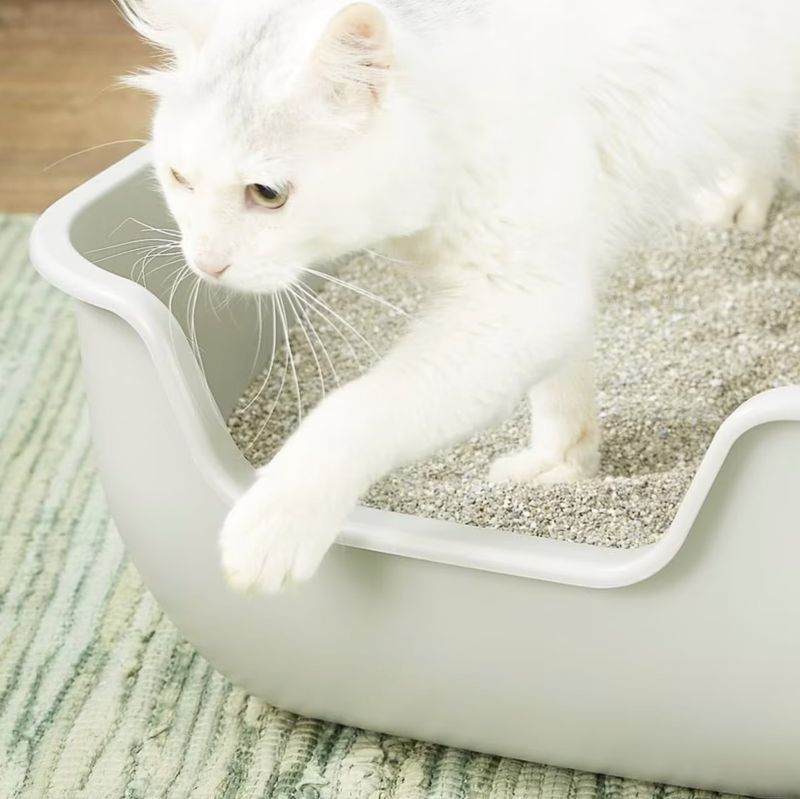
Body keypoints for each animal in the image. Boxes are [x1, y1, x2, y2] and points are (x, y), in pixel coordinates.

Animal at [119, 0, 800, 592]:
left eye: (267, 193)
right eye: (179, 178)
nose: (207, 263)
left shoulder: (520, 295)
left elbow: (351, 411)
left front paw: (271, 524)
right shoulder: (550, 282)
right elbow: (562, 391)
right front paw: (562, 468)